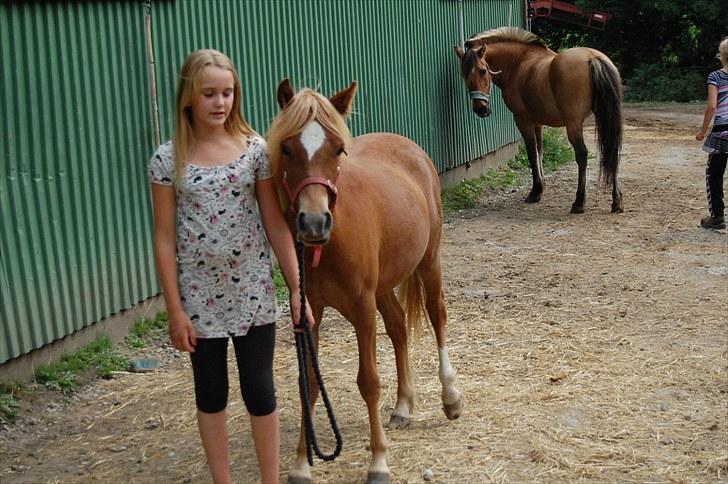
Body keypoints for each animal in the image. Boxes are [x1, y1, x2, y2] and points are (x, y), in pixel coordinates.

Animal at [268, 77, 466, 482]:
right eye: (287, 148)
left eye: (338, 149)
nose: (314, 222)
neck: (331, 242)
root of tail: (409, 147)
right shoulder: (308, 311)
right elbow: (309, 383)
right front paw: (301, 464)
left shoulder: (361, 305)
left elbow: (369, 382)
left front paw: (378, 461)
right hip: (384, 286)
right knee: (398, 328)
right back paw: (403, 407)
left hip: (428, 263)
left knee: (437, 316)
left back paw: (451, 398)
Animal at [452, 27, 624, 214]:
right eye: (464, 75)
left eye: (483, 70)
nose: (480, 109)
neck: (518, 62)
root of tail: (593, 58)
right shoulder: (538, 122)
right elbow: (540, 151)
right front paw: (541, 187)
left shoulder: (523, 120)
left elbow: (532, 153)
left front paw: (535, 192)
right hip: (606, 118)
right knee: (612, 151)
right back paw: (616, 201)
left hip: (573, 124)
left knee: (582, 155)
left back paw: (579, 202)